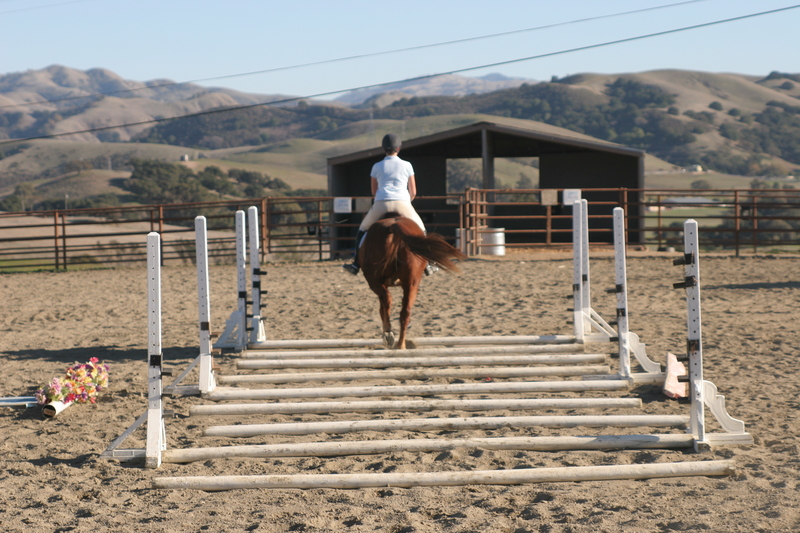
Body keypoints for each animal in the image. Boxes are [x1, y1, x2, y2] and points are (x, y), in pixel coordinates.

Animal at [359, 214, 466, 349]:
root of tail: (393, 226)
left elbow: (382, 309)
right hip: (412, 284)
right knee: (405, 313)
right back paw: (400, 345)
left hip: (374, 281)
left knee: (388, 300)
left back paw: (389, 335)